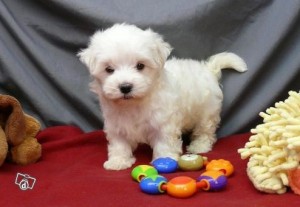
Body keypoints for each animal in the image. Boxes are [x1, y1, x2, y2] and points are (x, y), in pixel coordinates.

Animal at [78, 23, 247, 170]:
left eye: (140, 66)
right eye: (109, 69)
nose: (125, 87)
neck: (135, 103)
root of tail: (208, 69)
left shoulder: (164, 122)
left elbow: (165, 142)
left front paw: (165, 159)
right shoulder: (116, 123)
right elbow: (119, 143)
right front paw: (118, 161)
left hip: (207, 111)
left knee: (205, 130)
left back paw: (200, 145)